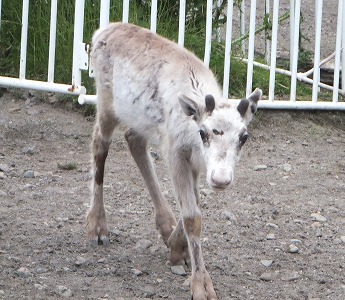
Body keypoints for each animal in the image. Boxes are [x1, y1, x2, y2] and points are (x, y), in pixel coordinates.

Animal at [86, 22, 260, 298]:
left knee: (133, 139)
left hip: (140, 120)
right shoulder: (175, 153)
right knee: (99, 146)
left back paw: (165, 224)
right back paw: (97, 226)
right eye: (204, 132)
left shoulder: (196, 163)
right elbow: (192, 216)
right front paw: (201, 284)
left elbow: (195, 201)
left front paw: (177, 248)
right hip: (106, 102)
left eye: (244, 137)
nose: (221, 179)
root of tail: (104, 30)